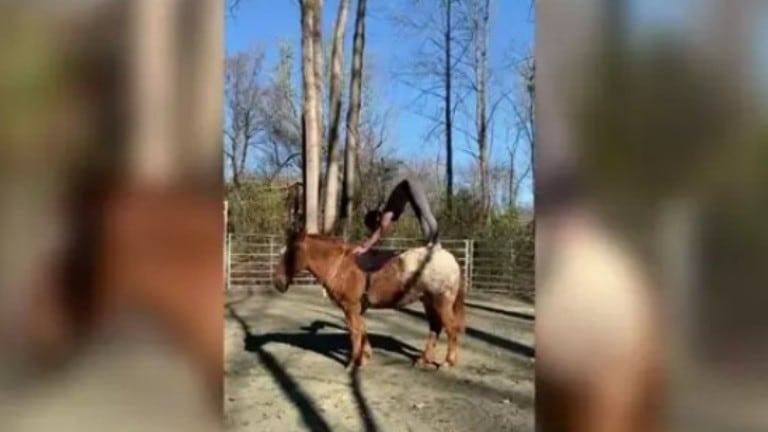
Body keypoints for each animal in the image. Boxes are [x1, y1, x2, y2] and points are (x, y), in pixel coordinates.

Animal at [274, 230, 468, 372]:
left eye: (291, 252)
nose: (278, 283)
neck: (341, 266)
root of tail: (451, 259)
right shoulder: (358, 308)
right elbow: (363, 329)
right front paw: (365, 357)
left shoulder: (350, 307)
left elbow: (355, 332)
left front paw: (353, 362)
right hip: (427, 301)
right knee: (435, 328)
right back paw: (423, 359)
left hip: (441, 302)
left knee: (451, 329)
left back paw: (448, 362)